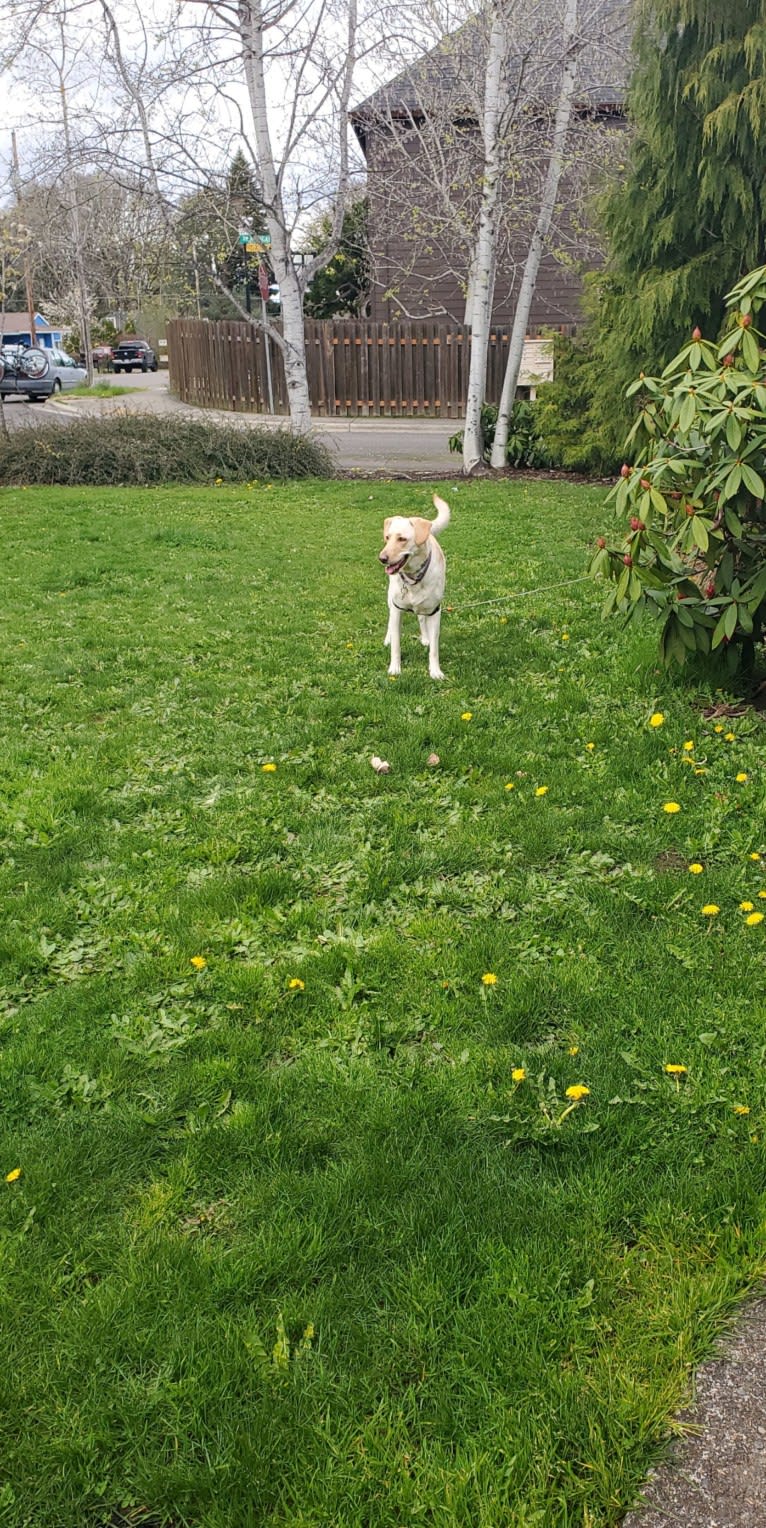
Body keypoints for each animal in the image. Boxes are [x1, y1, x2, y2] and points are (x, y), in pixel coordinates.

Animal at [379, 495, 449, 681]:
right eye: (387, 537)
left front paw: (435, 671)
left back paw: (425, 637)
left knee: (421, 617)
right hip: (390, 599)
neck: (413, 578)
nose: (382, 558)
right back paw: (388, 638)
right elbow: (396, 646)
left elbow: (434, 649)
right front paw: (395, 669)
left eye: (402, 539)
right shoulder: (397, 609)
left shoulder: (435, 611)